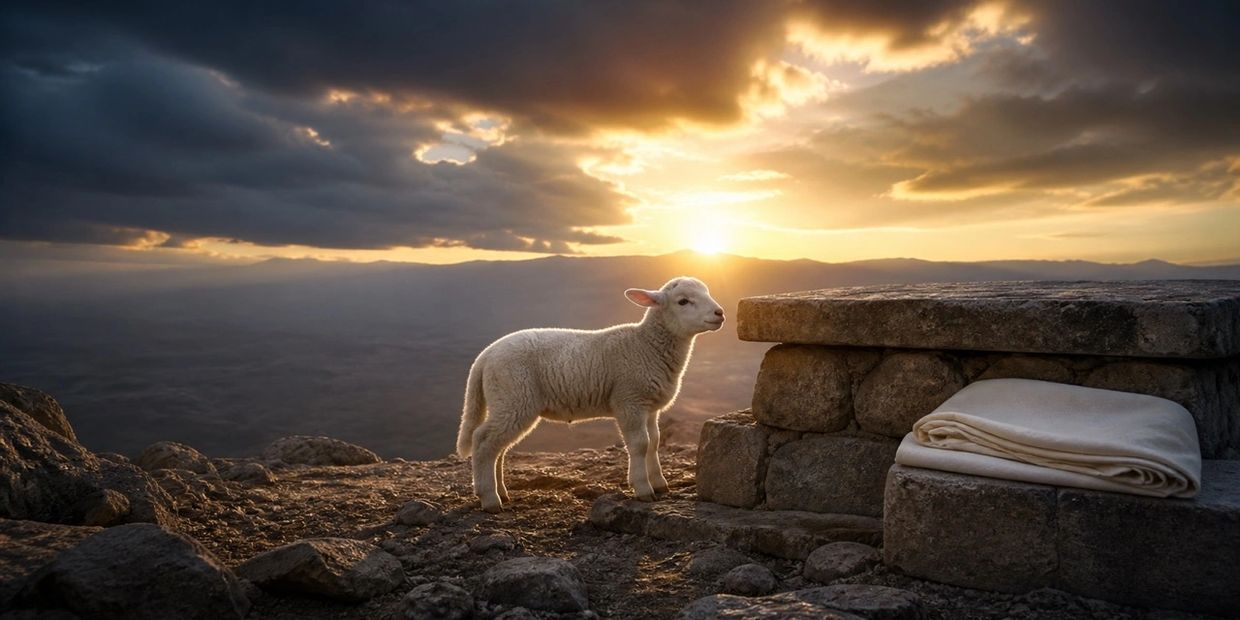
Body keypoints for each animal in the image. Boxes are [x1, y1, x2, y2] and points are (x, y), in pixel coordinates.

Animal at [455, 276, 725, 512]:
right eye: (683, 301)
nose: (720, 313)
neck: (645, 345)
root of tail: (485, 357)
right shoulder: (629, 400)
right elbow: (640, 444)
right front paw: (643, 489)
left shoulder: (649, 407)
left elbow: (655, 442)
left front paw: (659, 483)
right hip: (515, 396)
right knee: (483, 441)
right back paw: (489, 498)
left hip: (507, 402)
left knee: (497, 447)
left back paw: (501, 492)